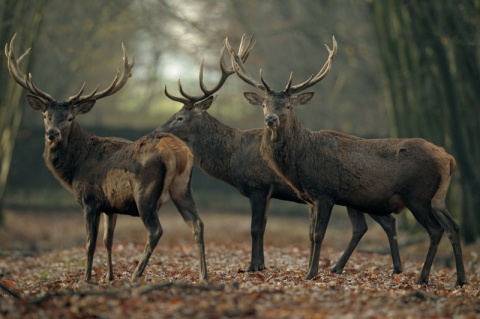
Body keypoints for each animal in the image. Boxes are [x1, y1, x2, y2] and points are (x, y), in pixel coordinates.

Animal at [5, 35, 208, 284]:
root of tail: (177, 152)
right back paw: (203, 275)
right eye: (45, 115)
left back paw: (136, 274)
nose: (52, 133)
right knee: (197, 224)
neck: (75, 168)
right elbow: (108, 240)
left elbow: (90, 243)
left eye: (70, 118)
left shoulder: (90, 200)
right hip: (183, 188)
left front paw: (87, 278)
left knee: (156, 230)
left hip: (145, 192)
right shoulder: (111, 206)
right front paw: (109, 277)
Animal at [227, 36, 466, 286]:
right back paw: (460, 279)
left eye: (288, 106)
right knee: (454, 227)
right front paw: (309, 270)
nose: (270, 119)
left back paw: (423, 277)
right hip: (437, 198)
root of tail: (448, 158)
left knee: (436, 230)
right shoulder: (311, 197)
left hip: (417, 195)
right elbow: (310, 235)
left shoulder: (325, 193)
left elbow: (318, 234)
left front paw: (312, 273)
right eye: (264, 104)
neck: (300, 161)